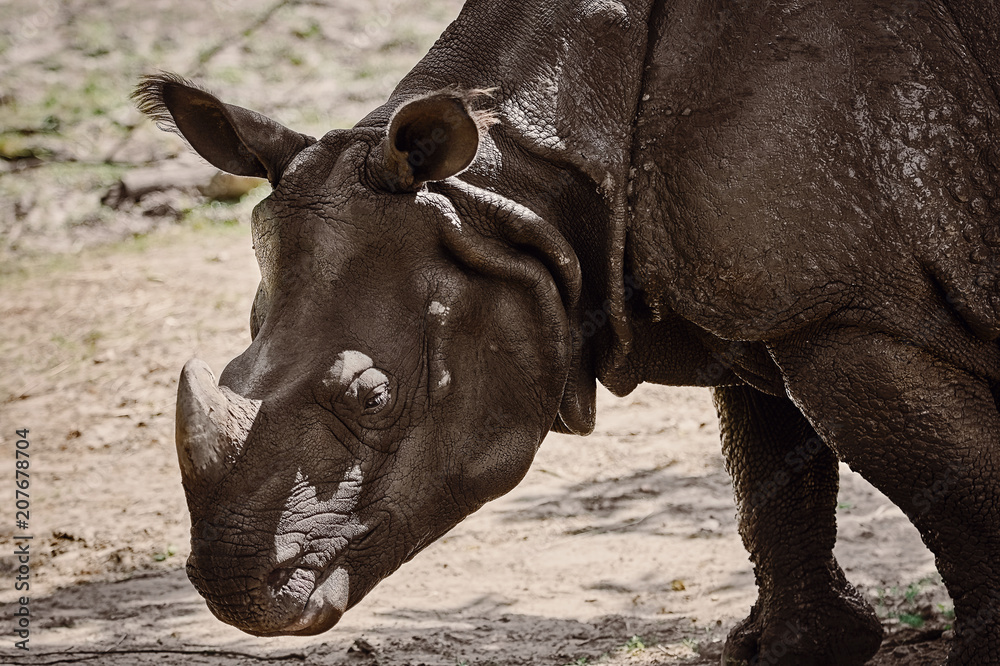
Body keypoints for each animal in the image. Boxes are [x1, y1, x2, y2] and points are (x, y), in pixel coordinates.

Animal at [135, 0, 1000, 663]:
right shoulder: (776, 299)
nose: (232, 589)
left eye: (373, 399)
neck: (509, 198)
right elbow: (770, 480)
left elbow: (957, 495)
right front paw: (797, 649)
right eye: (232, 371)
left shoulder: (843, 313)